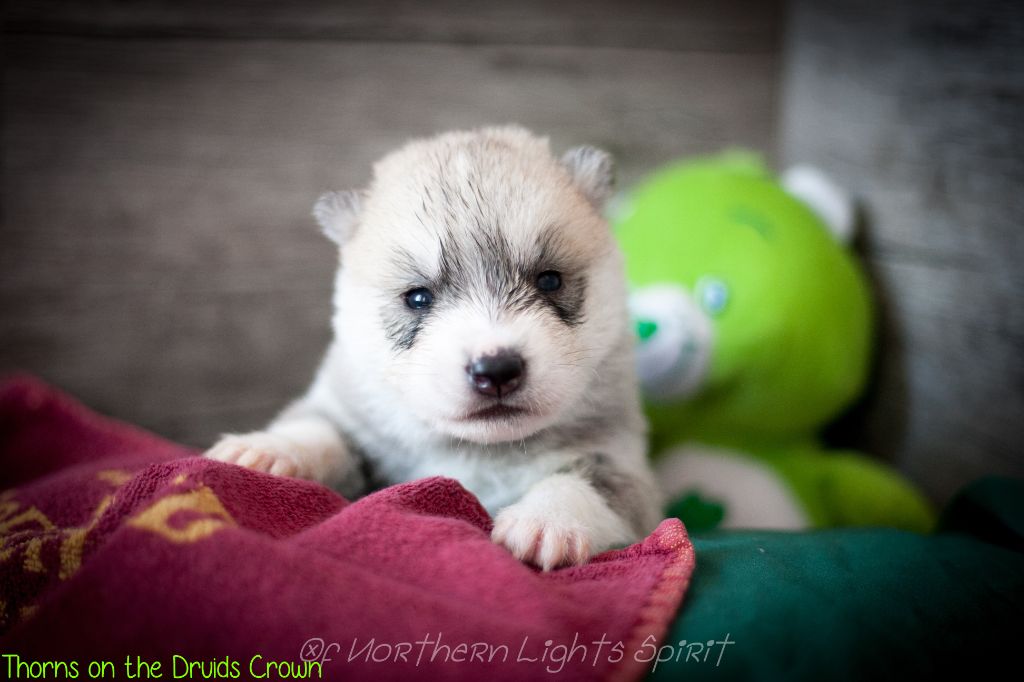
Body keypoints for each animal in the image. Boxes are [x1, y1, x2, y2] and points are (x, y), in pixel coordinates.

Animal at [206, 126, 661, 569]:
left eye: (550, 280)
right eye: (418, 297)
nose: (496, 370)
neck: (480, 450)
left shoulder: (624, 464)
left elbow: (587, 482)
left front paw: (547, 519)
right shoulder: (349, 415)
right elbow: (319, 428)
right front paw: (268, 449)